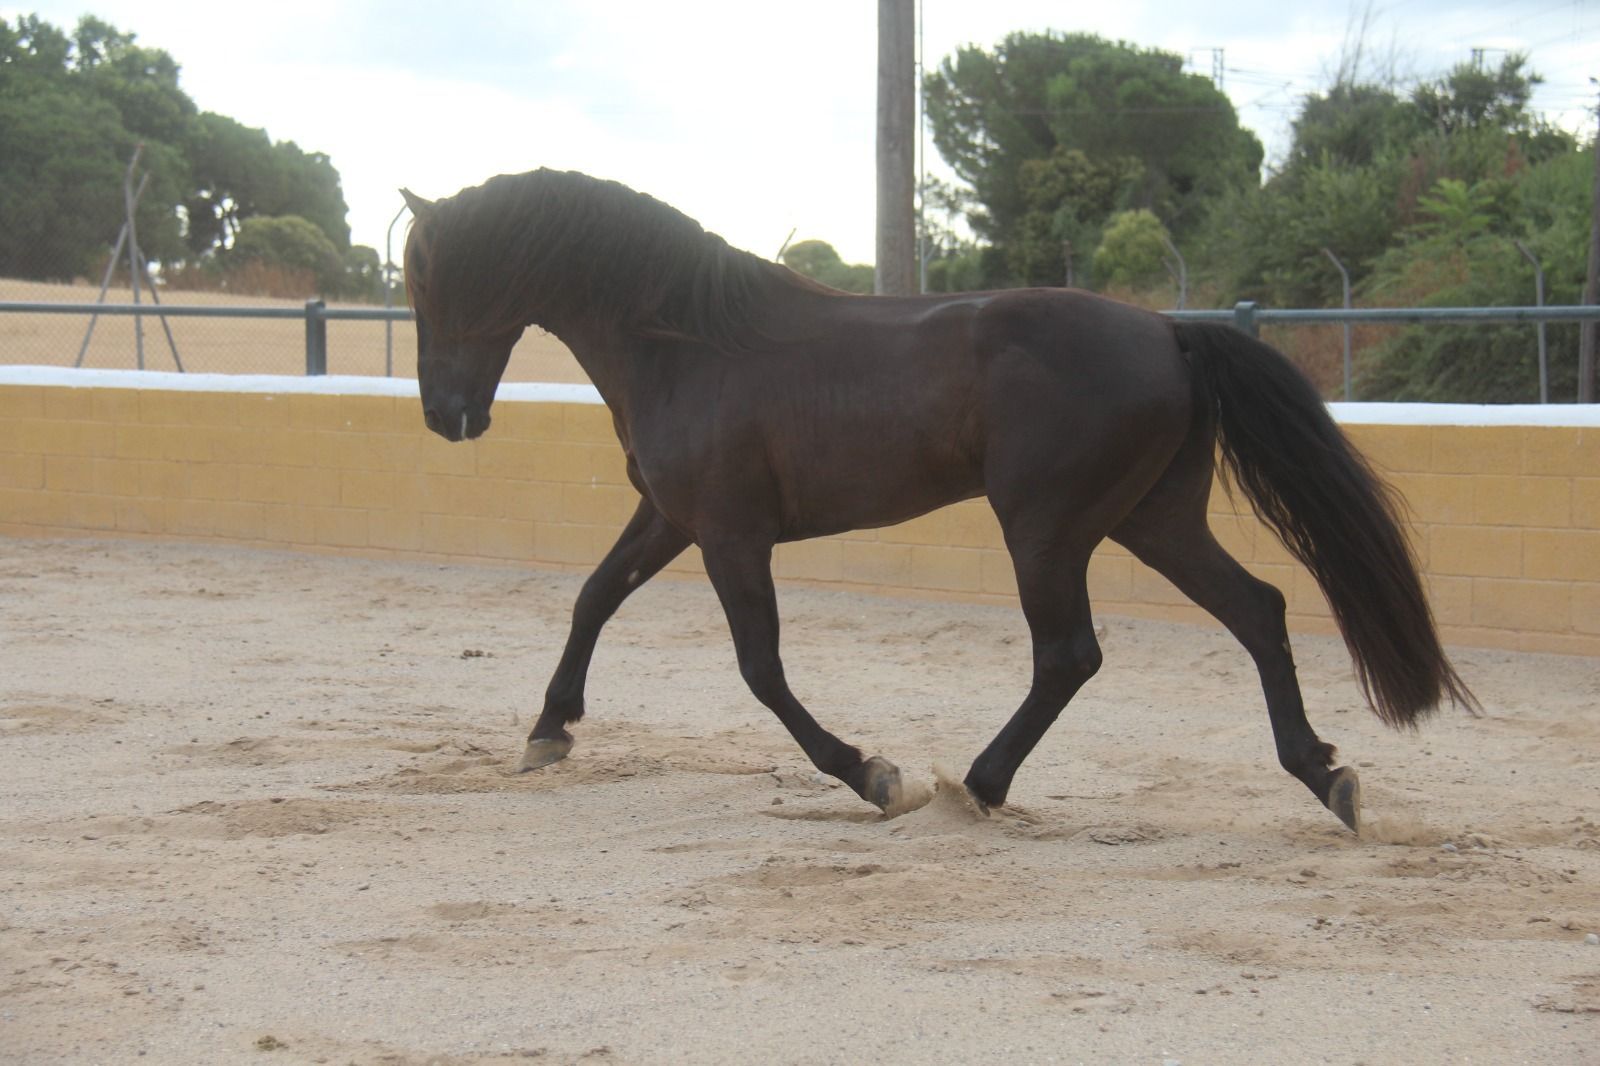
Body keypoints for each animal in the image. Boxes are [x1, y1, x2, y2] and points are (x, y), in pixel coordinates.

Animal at [398, 168, 1475, 833]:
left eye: (427, 275)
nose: (446, 416)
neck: (689, 344)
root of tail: (1169, 330)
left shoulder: (731, 536)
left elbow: (760, 668)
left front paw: (874, 775)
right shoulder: (672, 518)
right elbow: (592, 598)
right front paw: (547, 731)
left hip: (1047, 528)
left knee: (1069, 654)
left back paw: (979, 786)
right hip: (1151, 519)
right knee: (1258, 609)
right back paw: (1326, 775)